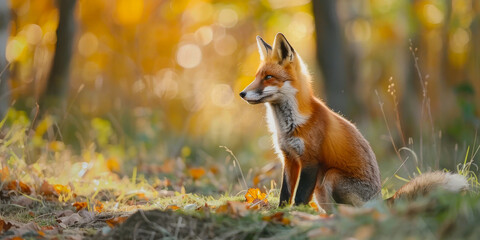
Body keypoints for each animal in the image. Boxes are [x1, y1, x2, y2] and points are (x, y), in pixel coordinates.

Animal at [240, 32, 468, 211]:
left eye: (268, 77)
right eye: (257, 76)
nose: (242, 93)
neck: (289, 125)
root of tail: (379, 199)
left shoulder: (311, 161)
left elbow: (300, 196)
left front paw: (296, 213)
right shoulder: (289, 158)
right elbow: (285, 193)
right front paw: (280, 212)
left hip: (330, 176)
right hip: (321, 188)